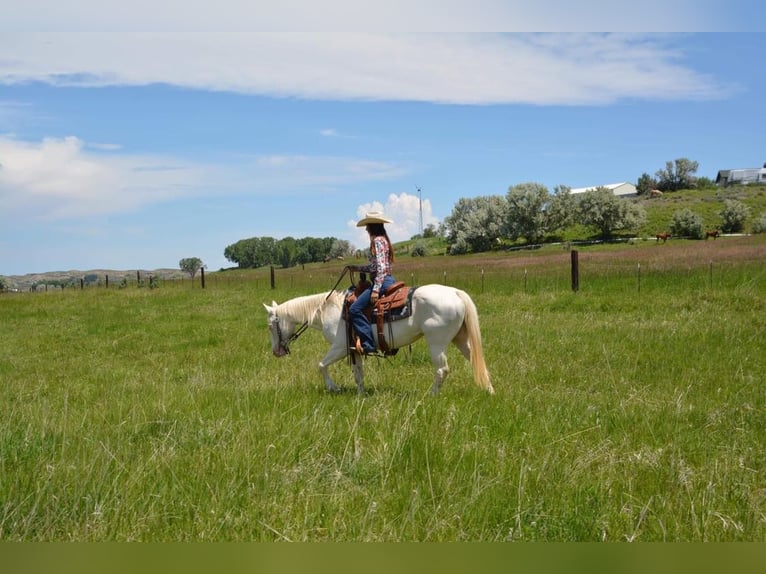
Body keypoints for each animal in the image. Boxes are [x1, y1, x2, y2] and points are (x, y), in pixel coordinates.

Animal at [264, 286, 496, 398]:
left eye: (270, 326)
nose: (276, 351)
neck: (329, 310)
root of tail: (455, 292)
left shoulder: (339, 348)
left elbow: (321, 365)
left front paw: (333, 388)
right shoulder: (354, 349)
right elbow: (358, 373)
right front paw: (360, 394)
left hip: (436, 343)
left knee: (442, 370)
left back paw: (432, 395)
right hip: (460, 339)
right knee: (476, 361)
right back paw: (489, 390)